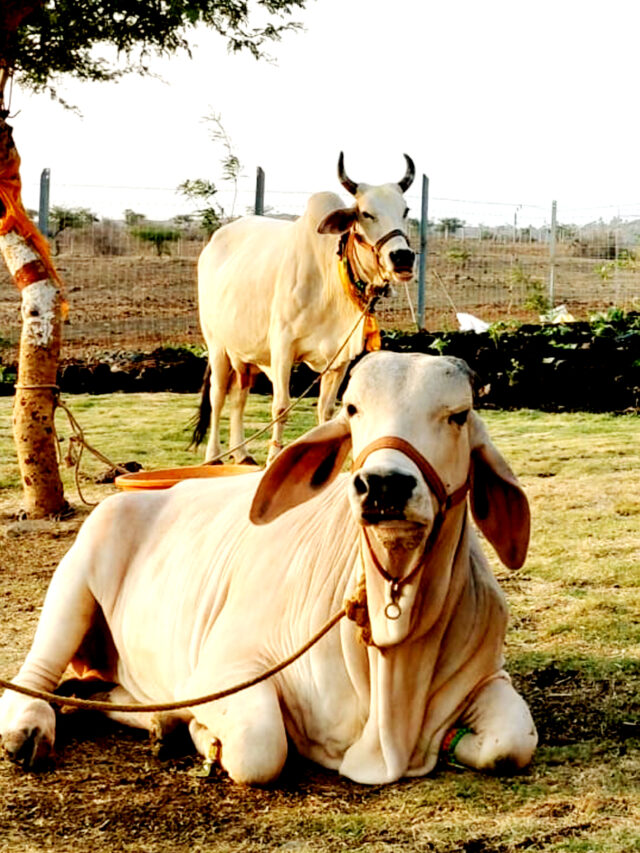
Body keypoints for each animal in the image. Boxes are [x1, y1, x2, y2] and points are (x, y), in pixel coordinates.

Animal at [0, 350, 536, 784]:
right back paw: (30, 729)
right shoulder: (224, 670)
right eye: (352, 409)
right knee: (35, 675)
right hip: (75, 580)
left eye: (458, 415)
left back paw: (161, 723)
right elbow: (261, 746)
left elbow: (512, 743)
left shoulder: (489, 679)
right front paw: (206, 738)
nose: (384, 484)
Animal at [192, 150, 418, 462]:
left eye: (405, 210)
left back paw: (242, 454)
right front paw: (273, 459)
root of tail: (213, 241)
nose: (403, 257)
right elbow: (281, 406)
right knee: (217, 395)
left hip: (246, 353)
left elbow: (326, 410)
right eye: (365, 213)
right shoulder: (282, 348)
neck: (328, 279)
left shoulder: (339, 359)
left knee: (240, 395)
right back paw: (213, 456)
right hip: (216, 344)